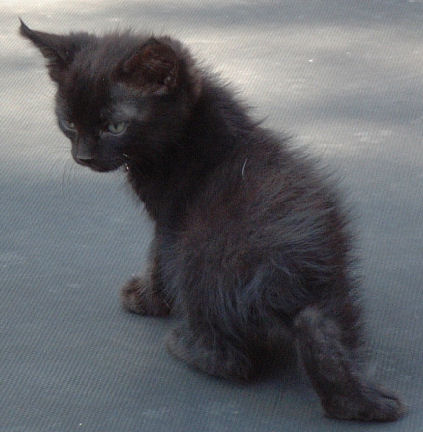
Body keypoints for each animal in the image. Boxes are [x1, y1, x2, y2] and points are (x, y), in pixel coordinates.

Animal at [21, 21, 406, 422]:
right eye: (68, 122)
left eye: (115, 126)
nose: (82, 156)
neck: (188, 128)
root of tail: (291, 282)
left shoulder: (171, 218)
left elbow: (156, 256)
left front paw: (146, 298)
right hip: (337, 291)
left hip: (198, 258)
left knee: (233, 363)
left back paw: (184, 345)